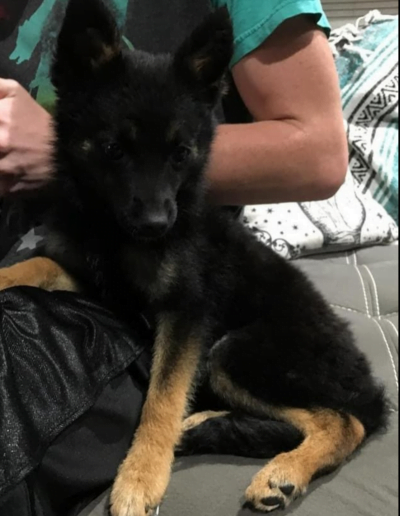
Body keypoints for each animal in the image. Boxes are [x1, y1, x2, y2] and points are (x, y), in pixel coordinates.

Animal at [0, 1, 388, 516]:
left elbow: (162, 398)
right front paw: (6, 273)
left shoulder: (186, 313)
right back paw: (204, 424)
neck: (112, 230)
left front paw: (140, 476)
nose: (156, 225)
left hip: (238, 350)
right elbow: (38, 265)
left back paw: (282, 472)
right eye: (113, 149)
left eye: (181, 153)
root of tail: (365, 379)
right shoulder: (100, 282)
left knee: (345, 421)